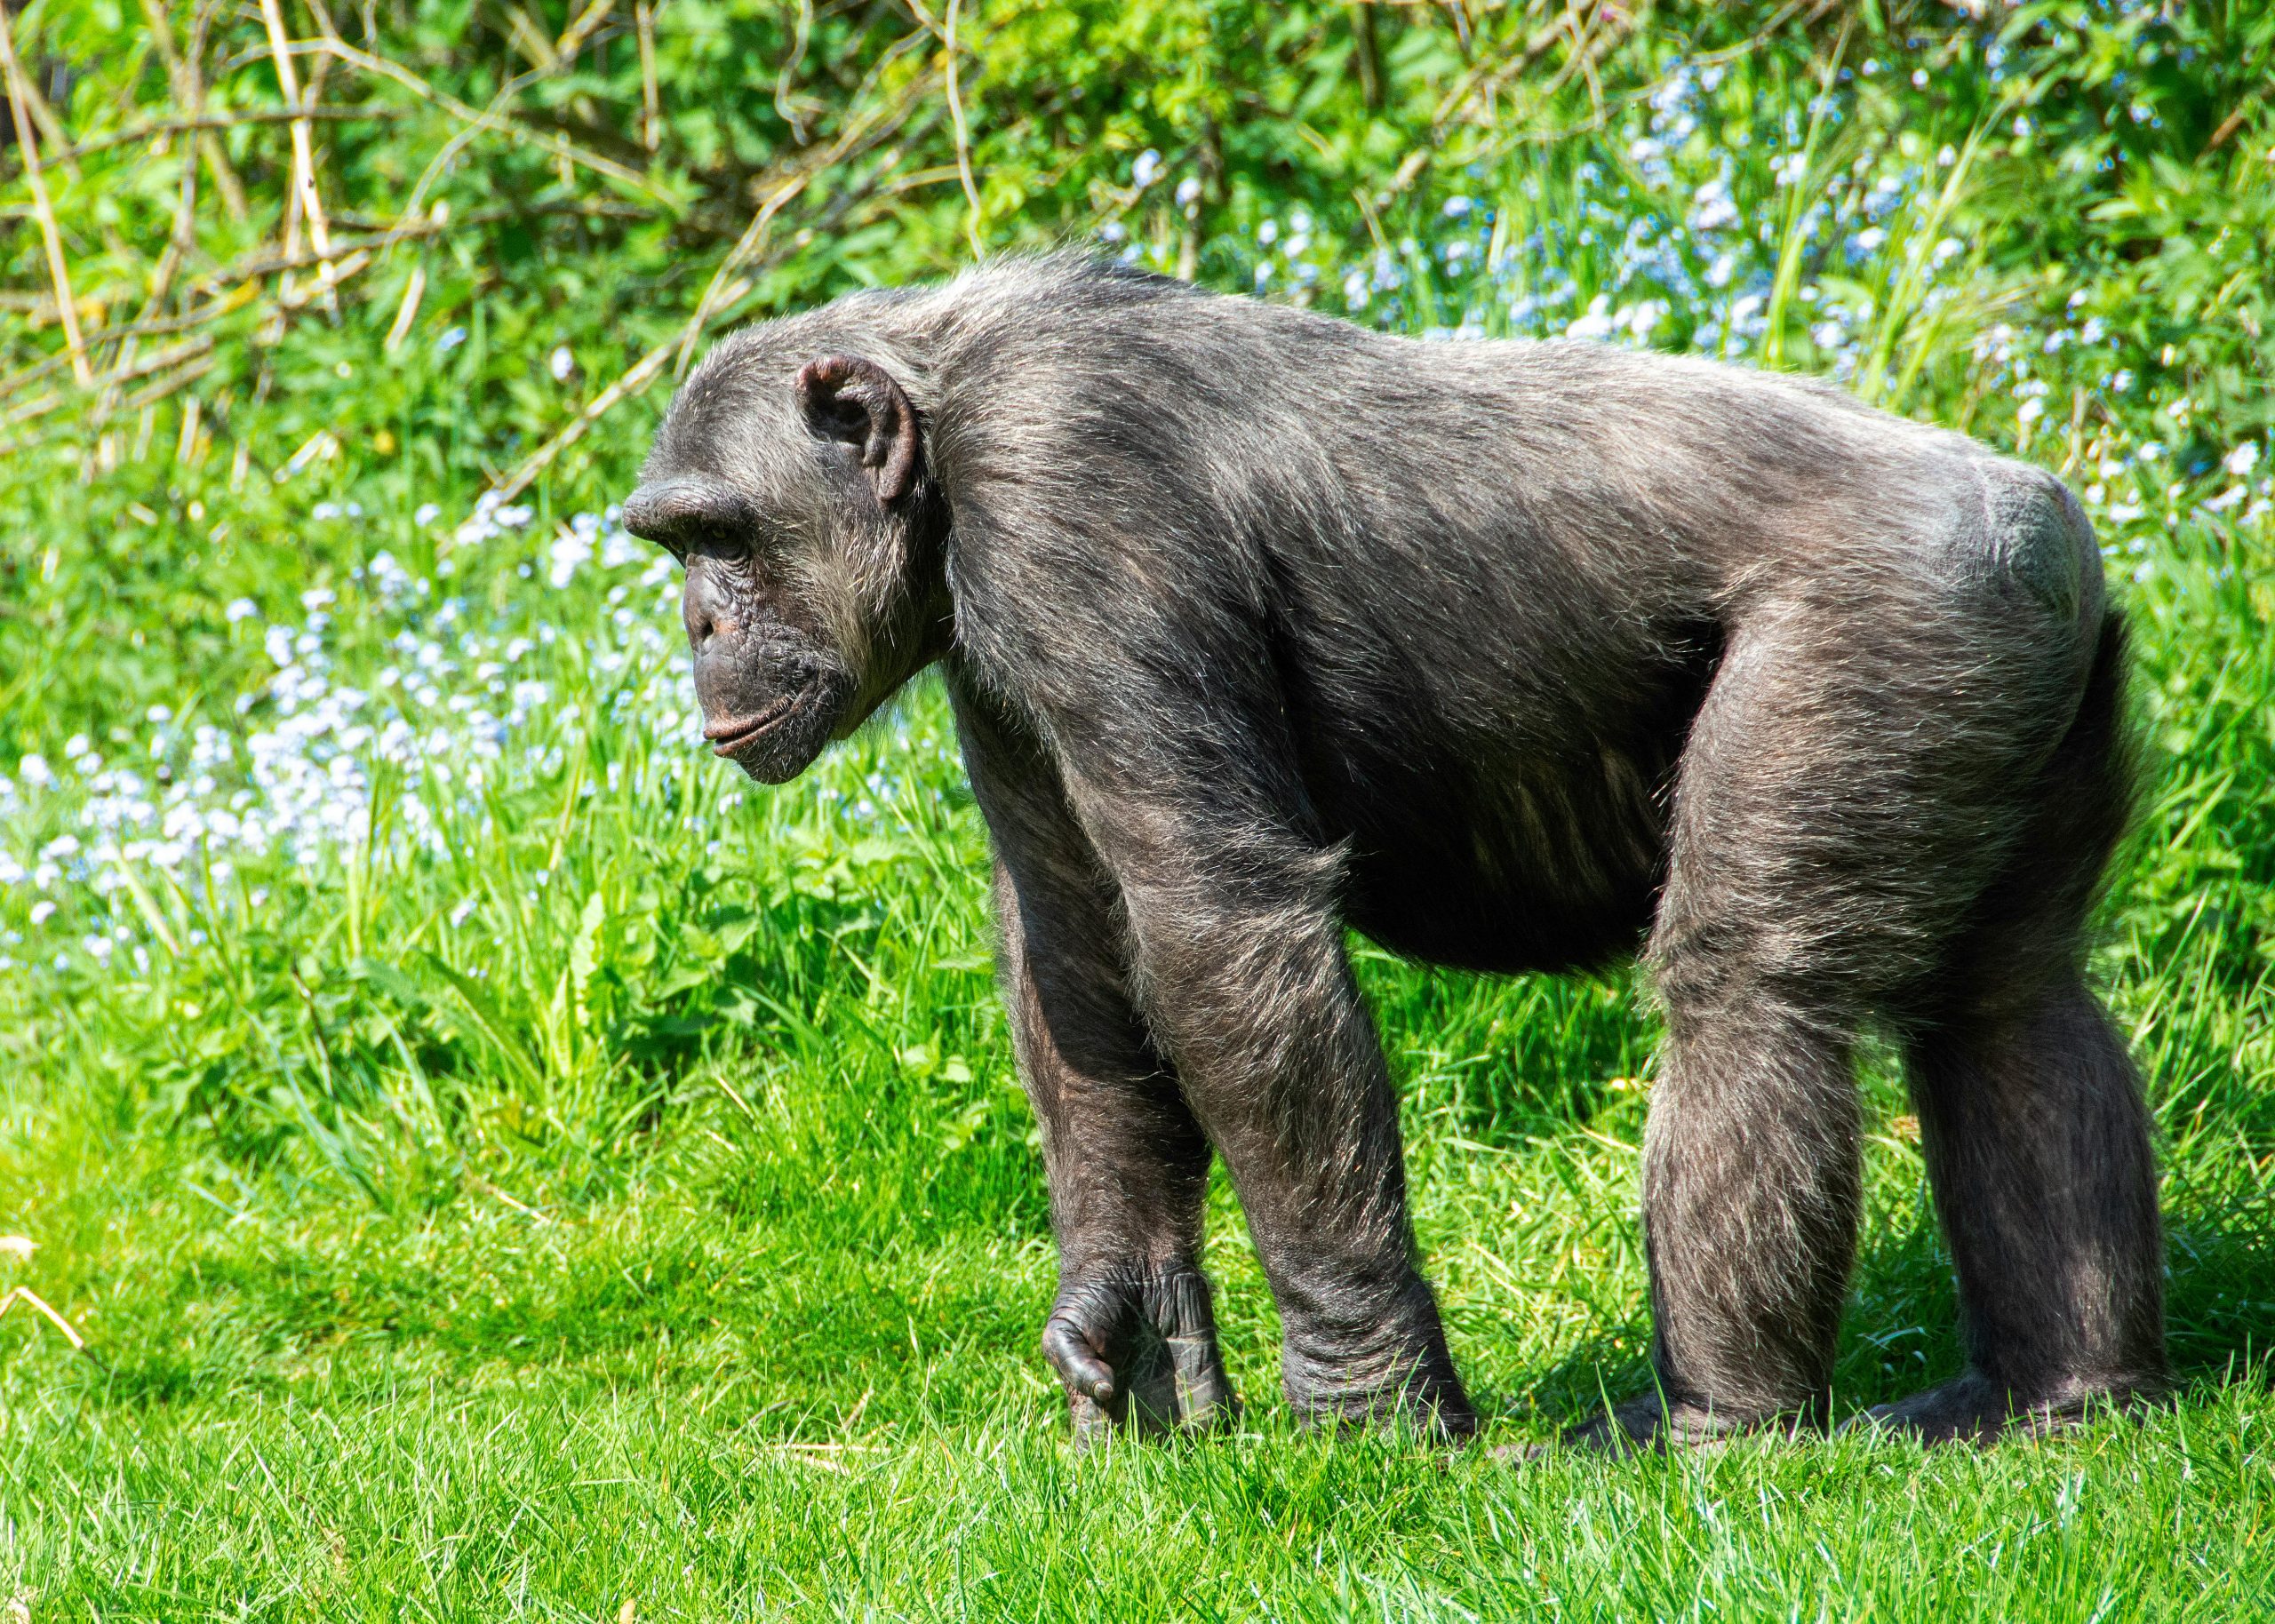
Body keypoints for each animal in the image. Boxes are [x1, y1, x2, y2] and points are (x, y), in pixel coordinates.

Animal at [622, 256, 2165, 1450]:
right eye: (676, 545)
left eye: (723, 534)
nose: (694, 623)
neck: (948, 424)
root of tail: (2043, 516)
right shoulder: (994, 659)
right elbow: (1074, 945)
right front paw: (1126, 1311)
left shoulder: (1069, 509)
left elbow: (1218, 924)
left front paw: (1369, 1408)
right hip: (2015, 666)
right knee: (2013, 1004)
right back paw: (2058, 1393)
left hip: (1881, 629)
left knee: (1748, 994)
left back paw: (1719, 1425)